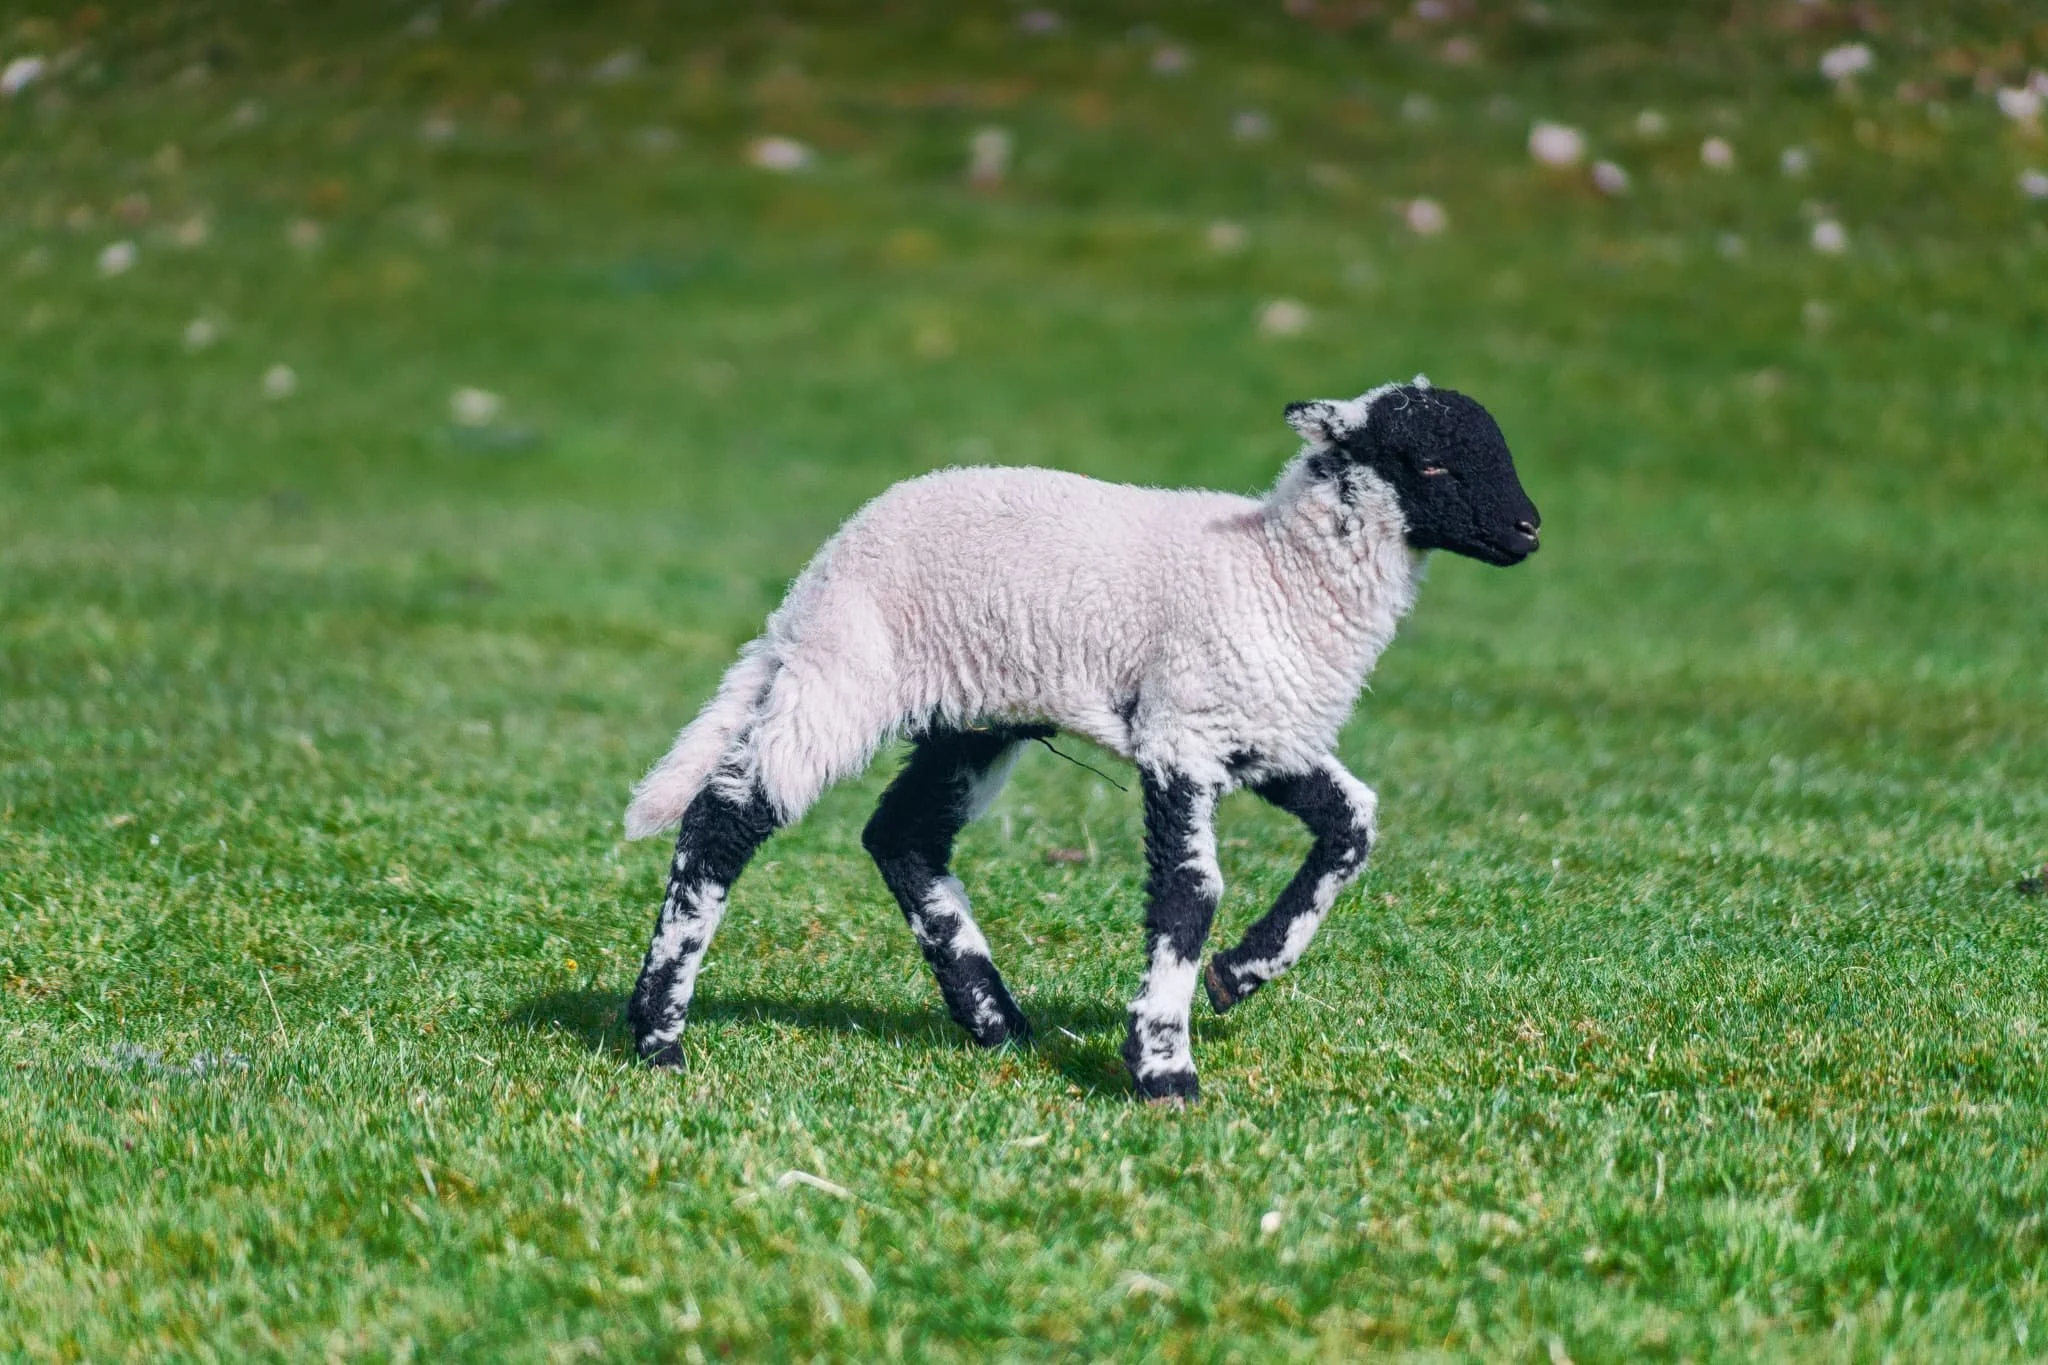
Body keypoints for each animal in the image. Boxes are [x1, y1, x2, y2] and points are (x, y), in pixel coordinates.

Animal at [622, 378, 1541, 1101]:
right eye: (1429, 462)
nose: (1530, 529)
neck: (1277, 573)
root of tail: (813, 579)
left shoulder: (1262, 734)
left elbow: (1352, 828)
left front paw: (1240, 975)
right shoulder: (1180, 733)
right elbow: (1190, 889)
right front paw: (1164, 1066)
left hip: (971, 716)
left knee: (902, 835)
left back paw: (996, 1020)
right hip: (845, 674)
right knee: (725, 817)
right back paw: (659, 1034)